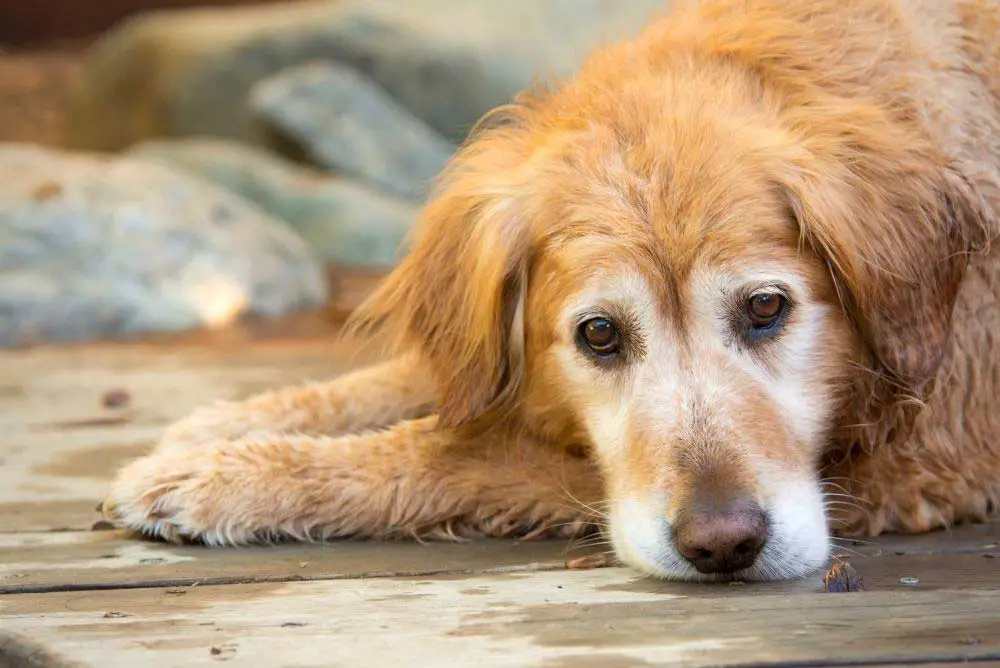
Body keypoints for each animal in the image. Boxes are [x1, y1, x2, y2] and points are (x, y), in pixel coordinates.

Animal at [103, 0, 1000, 580]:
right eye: (598, 334)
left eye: (766, 308)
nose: (724, 544)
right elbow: (420, 385)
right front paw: (223, 427)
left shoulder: (923, 459)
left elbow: (465, 451)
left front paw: (228, 477)